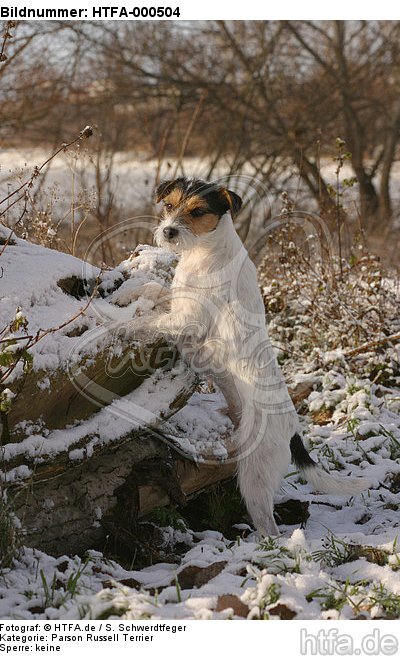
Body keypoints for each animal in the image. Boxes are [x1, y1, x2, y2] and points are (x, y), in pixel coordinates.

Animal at [126, 177, 368, 536]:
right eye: (169, 205)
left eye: (196, 212)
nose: (168, 231)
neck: (206, 250)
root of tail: (293, 430)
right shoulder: (178, 303)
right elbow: (155, 292)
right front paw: (129, 292)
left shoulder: (184, 320)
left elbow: (142, 322)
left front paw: (111, 326)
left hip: (254, 476)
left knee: (268, 525)